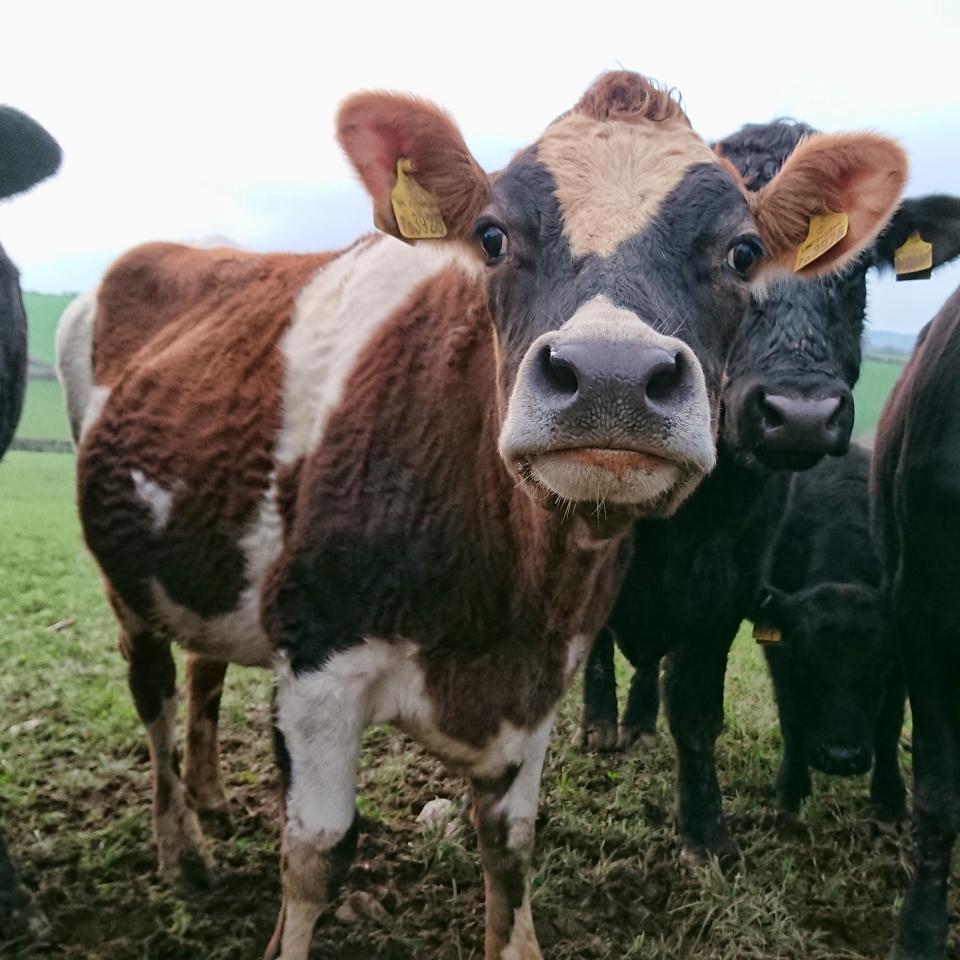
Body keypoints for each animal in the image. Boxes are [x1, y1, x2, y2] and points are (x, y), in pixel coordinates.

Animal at [752, 442, 904, 816]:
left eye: (881, 669)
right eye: (803, 668)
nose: (840, 758)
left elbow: (890, 724)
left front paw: (890, 799)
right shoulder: (780, 655)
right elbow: (791, 718)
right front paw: (792, 793)